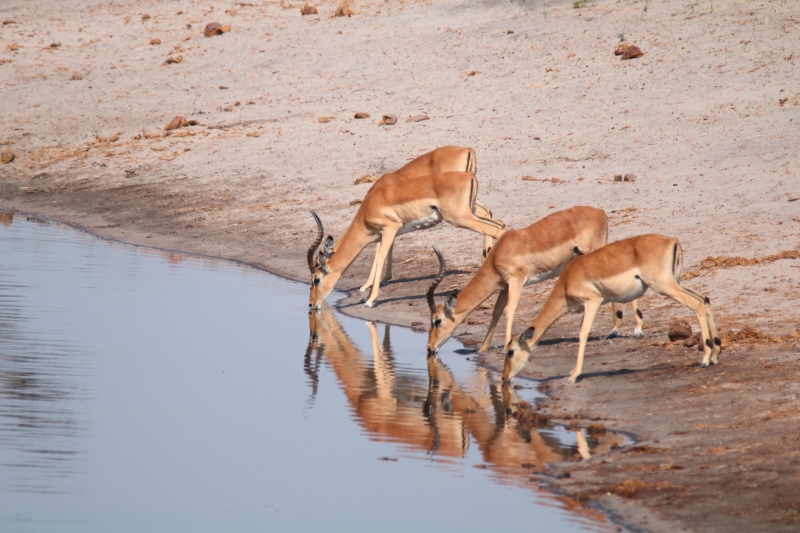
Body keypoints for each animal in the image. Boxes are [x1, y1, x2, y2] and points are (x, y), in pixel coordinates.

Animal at [308, 172, 506, 308]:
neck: (367, 209)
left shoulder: (390, 228)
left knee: (495, 229)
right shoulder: (383, 234)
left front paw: (370, 300)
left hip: (460, 218)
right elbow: (380, 256)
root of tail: (469, 175)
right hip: (469, 214)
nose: (311, 305)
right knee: (500, 224)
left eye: (316, 279)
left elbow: (380, 258)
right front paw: (367, 292)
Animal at [424, 206, 644, 356]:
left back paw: (637, 331)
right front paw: (483, 348)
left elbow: (510, 310)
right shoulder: (504, 287)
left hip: (594, 251)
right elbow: (496, 311)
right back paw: (615, 330)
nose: (429, 348)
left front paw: (505, 347)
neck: (498, 254)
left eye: (437, 320)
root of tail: (600, 212)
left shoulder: (516, 281)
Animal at [506, 234, 724, 382]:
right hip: (675, 283)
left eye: (510, 352)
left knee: (697, 303)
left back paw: (705, 359)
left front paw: (574, 375)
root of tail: (672, 240)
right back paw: (715, 354)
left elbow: (583, 333)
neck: (567, 280)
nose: (504, 378)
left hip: (665, 286)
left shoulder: (592, 302)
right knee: (705, 299)